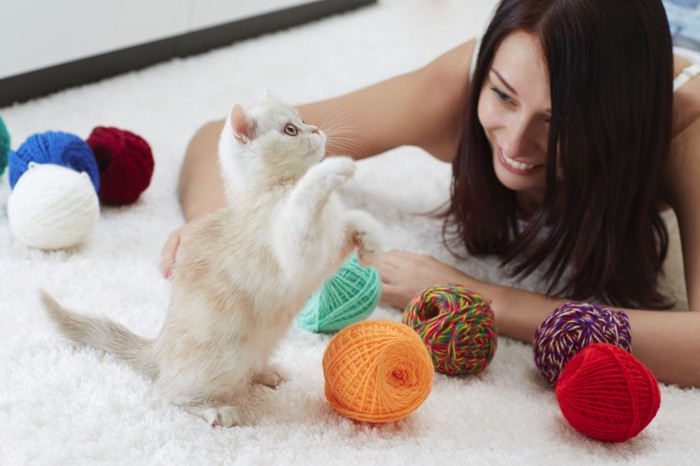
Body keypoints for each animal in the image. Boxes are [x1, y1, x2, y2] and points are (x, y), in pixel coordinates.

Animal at [41, 94, 380, 426]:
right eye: (290, 130)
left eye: (303, 119)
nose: (317, 130)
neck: (271, 191)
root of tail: (159, 348)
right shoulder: (297, 250)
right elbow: (306, 200)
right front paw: (335, 169)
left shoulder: (326, 249)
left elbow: (351, 220)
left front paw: (370, 240)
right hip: (222, 359)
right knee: (168, 390)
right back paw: (214, 409)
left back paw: (267, 371)